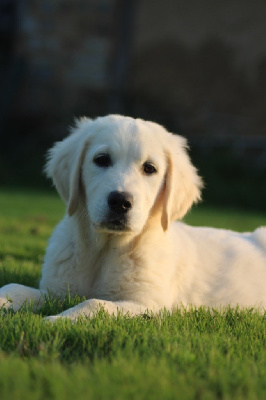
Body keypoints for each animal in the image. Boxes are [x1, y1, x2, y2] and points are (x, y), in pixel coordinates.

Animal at [0, 114, 266, 320]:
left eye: (149, 168)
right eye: (101, 159)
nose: (120, 201)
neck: (104, 252)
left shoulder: (148, 305)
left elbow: (95, 304)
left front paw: (56, 321)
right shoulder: (56, 290)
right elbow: (13, 288)